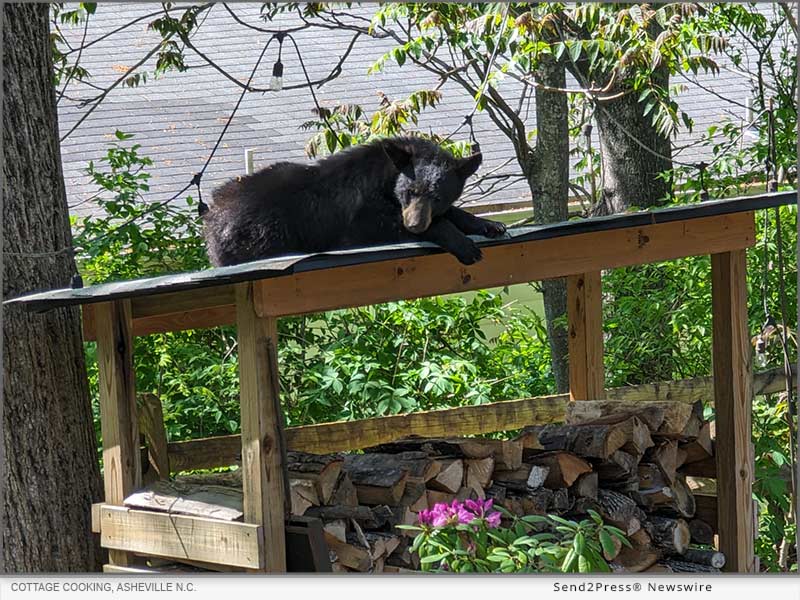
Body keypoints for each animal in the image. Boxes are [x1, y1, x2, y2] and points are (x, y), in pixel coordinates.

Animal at [200, 137, 506, 268]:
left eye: (438, 197)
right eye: (409, 191)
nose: (415, 225)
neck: (386, 176)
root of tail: (211, 215)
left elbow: (451, 213)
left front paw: (487, 224)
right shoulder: (359, 217)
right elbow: (381, 224)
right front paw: (463, 244)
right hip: (259, 233)